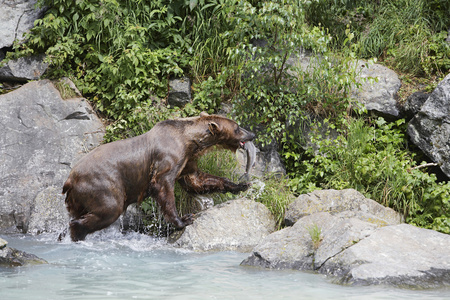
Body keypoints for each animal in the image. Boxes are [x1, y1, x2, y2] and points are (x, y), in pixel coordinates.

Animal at [61, 112, 255, 241]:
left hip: (77, 199)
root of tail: (70, 179)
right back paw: (77, 232)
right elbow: (163, 185)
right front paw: (184, 219)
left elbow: (197, 180)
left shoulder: (187, 160)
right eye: (237, 127)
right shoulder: (169, 156)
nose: (252, 134)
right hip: (101, 184)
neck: (189, 141)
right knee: (110, 208)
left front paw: (240, 185)